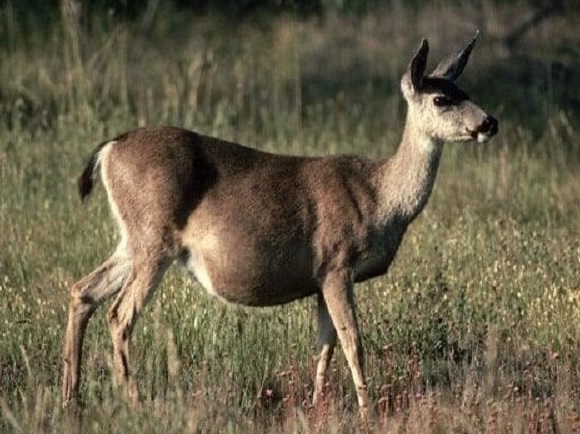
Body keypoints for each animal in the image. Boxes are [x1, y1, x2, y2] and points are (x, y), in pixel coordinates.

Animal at [62, 31, 498, 414]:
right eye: (441, 99)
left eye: (467, 92)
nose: (489, 122)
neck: (381, 199)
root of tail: (109, 149)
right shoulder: (338, 263)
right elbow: (353, 342)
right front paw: (367, 410)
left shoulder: (321, 276)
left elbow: (324, 346)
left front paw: (318, 405)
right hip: (154, 237)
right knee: (119, 314)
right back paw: (132, 401)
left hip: (132, 240)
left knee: (82, 290)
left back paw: (71, 398)